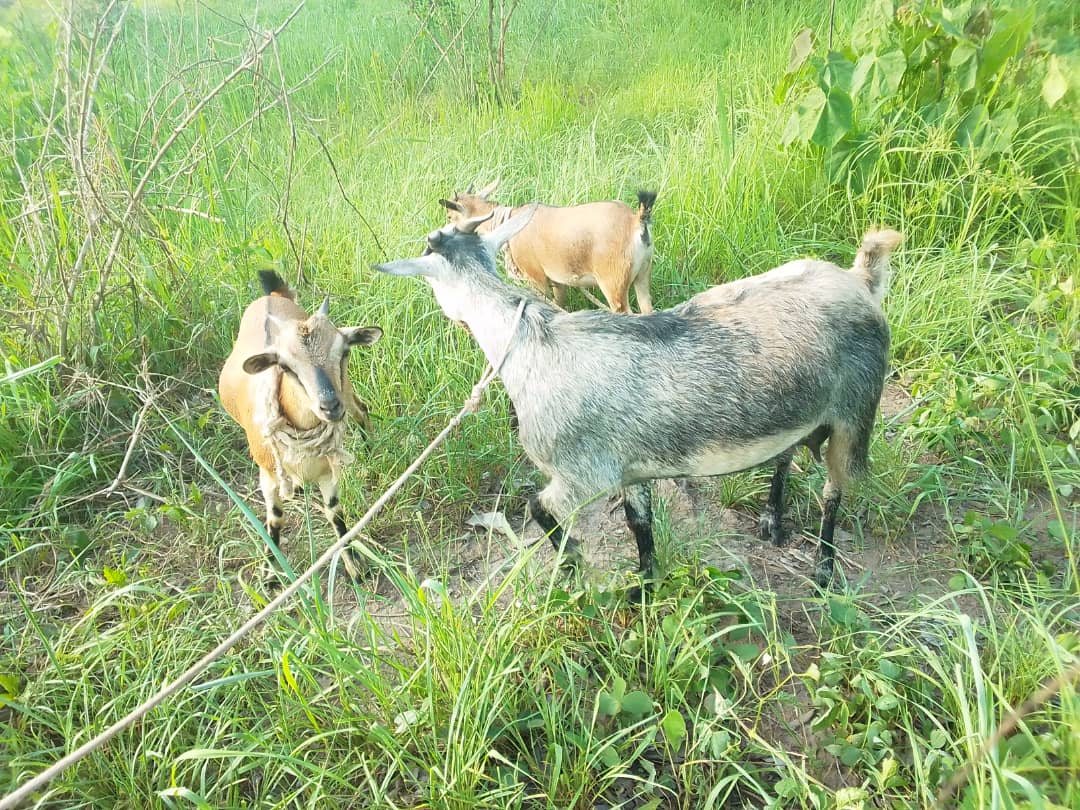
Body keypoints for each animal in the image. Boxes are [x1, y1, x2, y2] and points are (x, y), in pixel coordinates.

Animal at [218, 270, 382, 578]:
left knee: (361, 410)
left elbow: (334, 512)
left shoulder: (327, 472)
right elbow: (275, 519)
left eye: (344, 351)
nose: (329, 406)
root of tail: (274, 295)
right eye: (284, 366)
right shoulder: (267, 475)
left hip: (348, 393)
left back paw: (371, 450)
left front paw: (354, 565)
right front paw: (271, 573)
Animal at [376, 212, 901, 592]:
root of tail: (859, 280)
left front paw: (572, 560)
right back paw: (773, 521)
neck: (531, 344)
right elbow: (639, 523)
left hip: (855, 410)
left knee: (836, 488)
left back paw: (824, 570)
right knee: (786, 454)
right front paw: (645, 584)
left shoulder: (582, 475)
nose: (452, 319)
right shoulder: (631, 468)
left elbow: (536, 507)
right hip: (796, 405)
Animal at [439, 180, 657, 314]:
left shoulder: (536, 277)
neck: (509, 221)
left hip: (613, 283)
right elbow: (559, 303)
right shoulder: (558, 279)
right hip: (642, 274)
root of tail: (635, 221)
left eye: (449, 216)